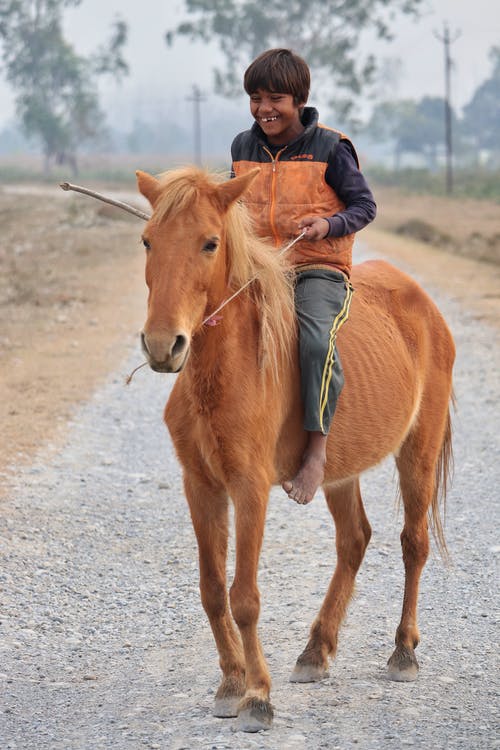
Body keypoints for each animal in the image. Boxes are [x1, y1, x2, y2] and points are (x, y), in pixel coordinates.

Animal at [135, 166, 456, 736]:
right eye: (148, 240)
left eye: (210, 243)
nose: (161, 344)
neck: (224, 370)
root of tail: (423, 304)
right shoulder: (201, 486)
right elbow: (212, 590)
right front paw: (231, 683)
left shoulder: (249, 490)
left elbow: (243, 597)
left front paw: (257, 696)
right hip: (339, 470)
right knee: (354, 539)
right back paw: (316, 650)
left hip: (418, 449)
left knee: (413, 543)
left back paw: (403, 652)